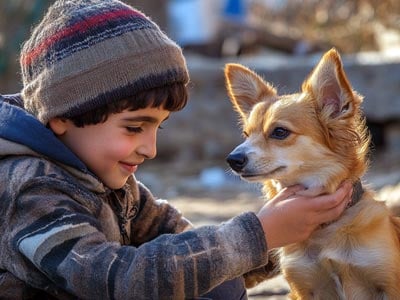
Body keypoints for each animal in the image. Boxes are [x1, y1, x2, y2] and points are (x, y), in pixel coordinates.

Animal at [227, 48, 400, 298]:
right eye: (246, 134)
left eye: (280, 132)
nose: (233, 159)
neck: (326, 230)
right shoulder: (304, 286)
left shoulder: (388, 283)